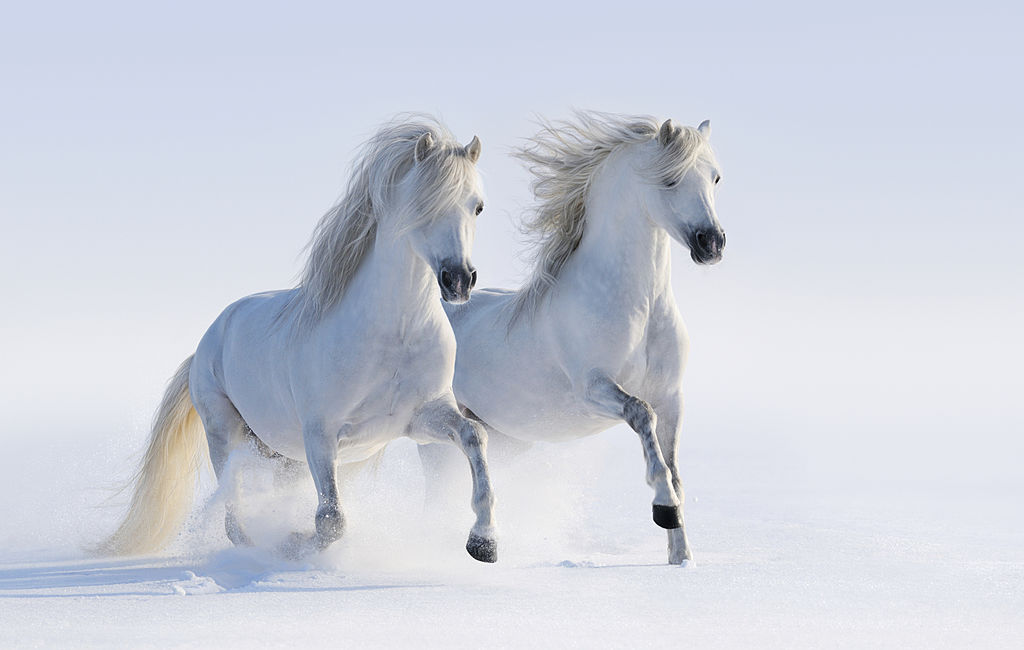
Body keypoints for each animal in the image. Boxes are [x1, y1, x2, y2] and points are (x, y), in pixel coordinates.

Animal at [104, 117, 499, 565]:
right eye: (423, 204)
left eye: (477, 206)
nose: (458, 280)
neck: (393, 336)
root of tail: (207, 341)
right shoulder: (320, 435)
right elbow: (331, 521)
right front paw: (293, 544)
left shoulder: (421, 418)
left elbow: (475, 436)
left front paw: (484, 542)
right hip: (225, 432)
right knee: (232, 510)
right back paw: (256, 549)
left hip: (281, 455)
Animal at [428, 110, 724, 565]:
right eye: (670, 180)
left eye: (715, 178)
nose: (712, 243)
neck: (639, 307)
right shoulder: (594, 389)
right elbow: (642, 417)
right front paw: (663, 509)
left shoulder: (672, 397)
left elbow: (675, 469)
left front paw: (681, 557)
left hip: (506, 438)